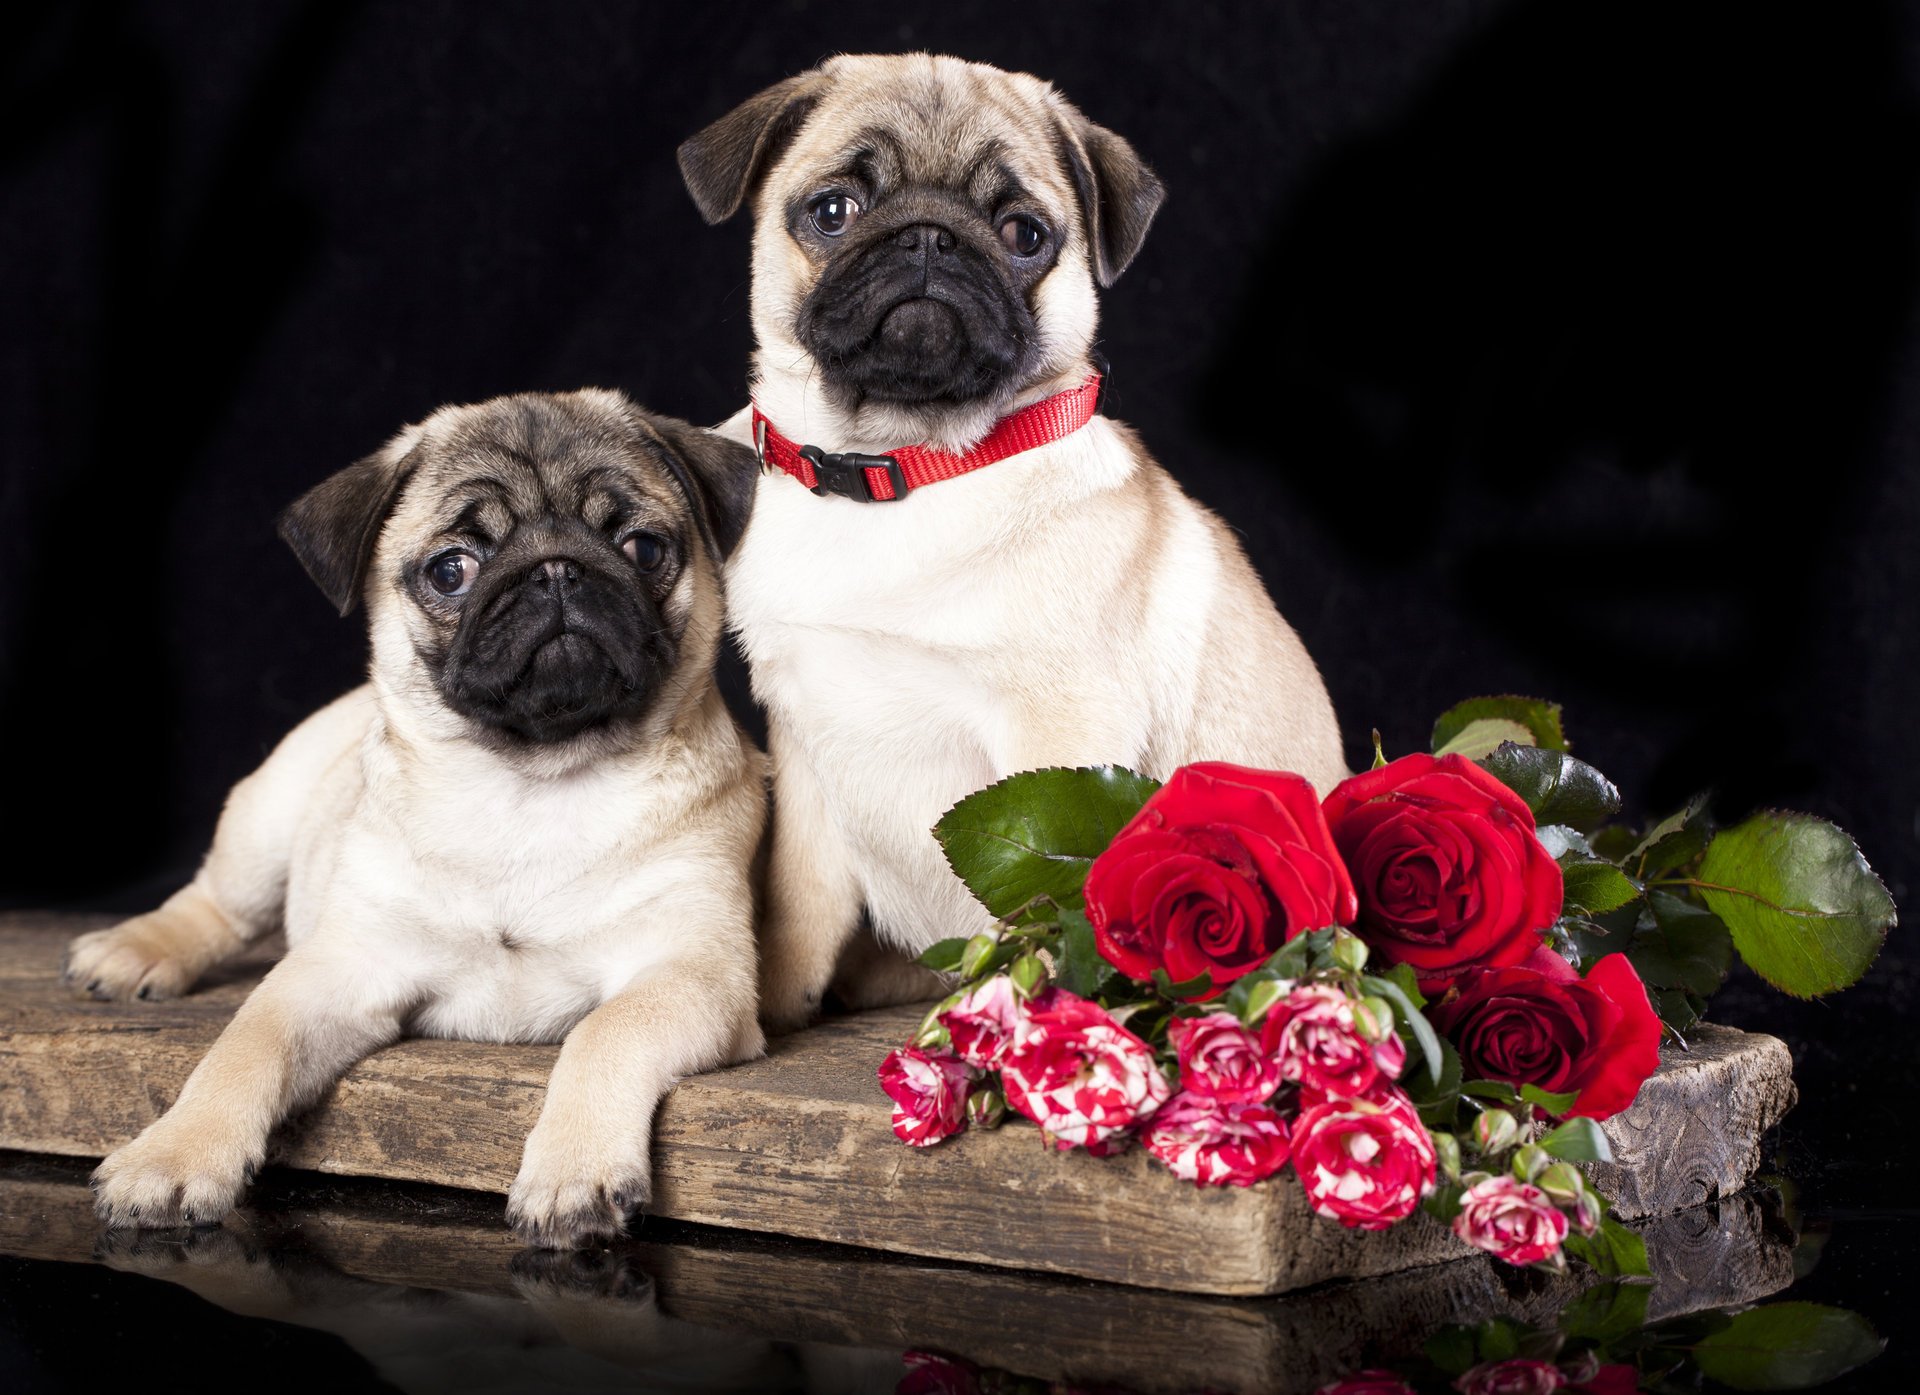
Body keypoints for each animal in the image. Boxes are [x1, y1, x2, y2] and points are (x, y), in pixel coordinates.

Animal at [61, 387, 764, 1251]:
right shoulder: (334, 971)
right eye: (451, 569)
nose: (556, 570)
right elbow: (242, 1049)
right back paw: (135, 951)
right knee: (216, 903)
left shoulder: (692, 971)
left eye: (641, 546)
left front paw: (573, 1170)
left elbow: (607, 1031)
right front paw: (173, 1153)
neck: (530, 781)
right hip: (265, 815)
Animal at [683, 57, 1344, 1036]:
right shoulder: (806, 747)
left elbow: (1035, 903)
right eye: (834, 210)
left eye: (1022, 232)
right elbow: (798, 903)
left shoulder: (1054, 739)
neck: (905, 467)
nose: (928, 238)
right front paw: (771, 1006)